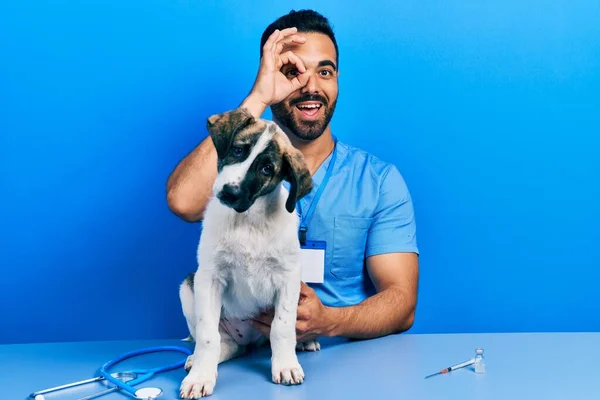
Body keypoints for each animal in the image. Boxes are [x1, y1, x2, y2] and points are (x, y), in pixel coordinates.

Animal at [178, 108, 318, 398]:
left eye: (267, 169)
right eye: (238, 150)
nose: (230, 193)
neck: (248, 220)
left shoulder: (288, 277)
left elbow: (282, 327)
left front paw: (286, 365)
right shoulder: (209, 277)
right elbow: (207, 336)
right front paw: (200, 377)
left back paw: (305, 342)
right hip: (187, 287)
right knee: (224, 343)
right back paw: (198, 361)